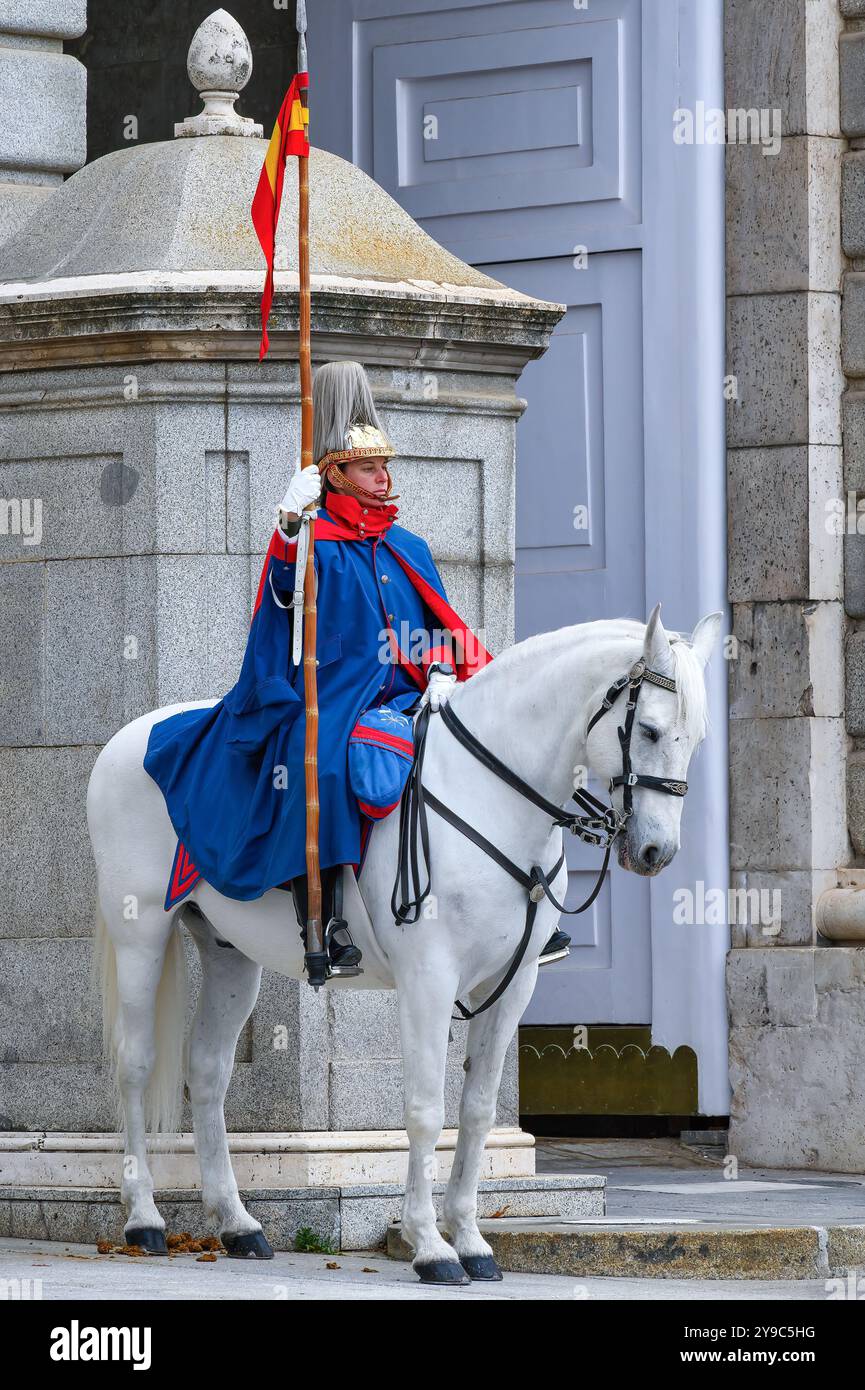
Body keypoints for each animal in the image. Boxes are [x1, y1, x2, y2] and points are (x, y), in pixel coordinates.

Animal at [89, 606, 723, 1278]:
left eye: (697, 739)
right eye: (650, 730)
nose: (656, 852)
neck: (493, 795)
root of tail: (129, 737)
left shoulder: (512, 984)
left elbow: (476, 1109)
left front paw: (469, 1238)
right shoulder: (429, 978)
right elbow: (424, 1110)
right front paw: (429, 1246)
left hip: (228, 952)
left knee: (207, 1070)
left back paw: (238, 1223)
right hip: (140, 933)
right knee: (135, 1064)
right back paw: (144, 1218)